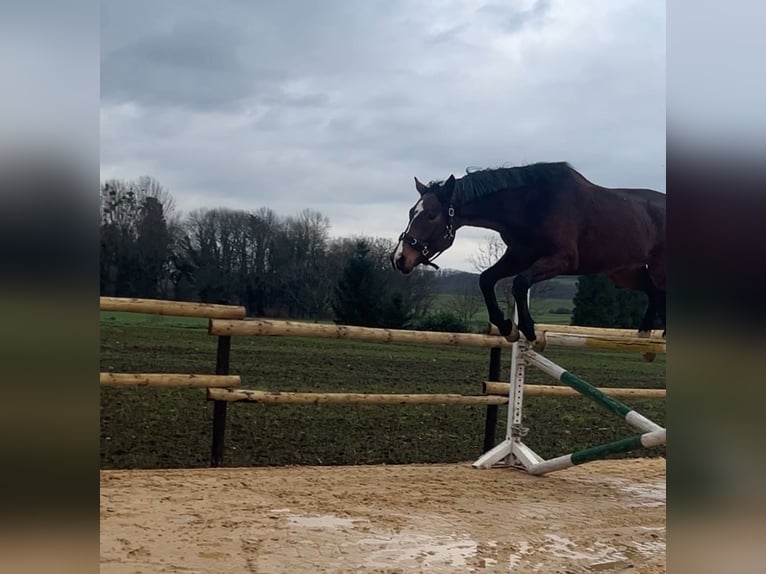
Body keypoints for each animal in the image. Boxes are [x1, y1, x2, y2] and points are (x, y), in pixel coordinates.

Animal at [390, 162, 664, 342]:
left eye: (432, 215)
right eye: (411, 212)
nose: (400, 259)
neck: (533, 204)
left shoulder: (561, 260)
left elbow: (520, 283)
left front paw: (528, 329)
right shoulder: (519, 256)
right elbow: (486, 279)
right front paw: (506, 326)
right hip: (625, 273)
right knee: (654, 292)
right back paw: (645, 332)